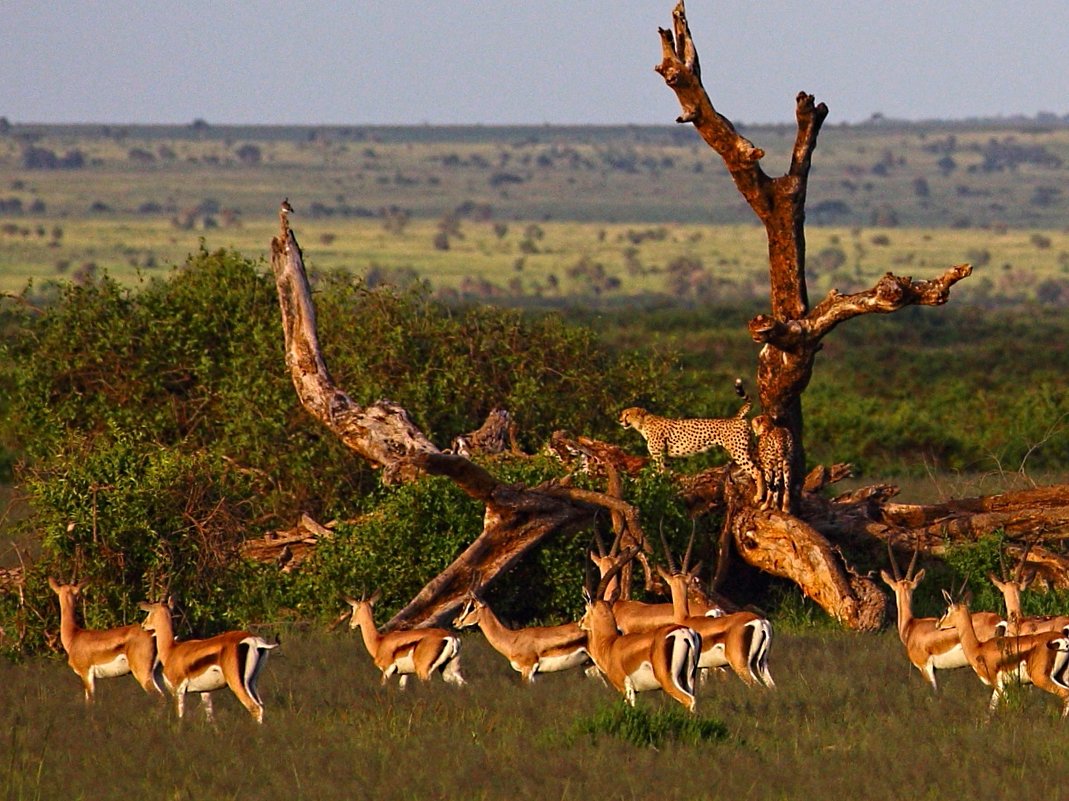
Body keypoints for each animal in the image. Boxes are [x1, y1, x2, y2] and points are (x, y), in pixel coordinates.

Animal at [620, 378, 761, 479]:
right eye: (622, 414)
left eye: (627, 414)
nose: (620, 420)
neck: (643, 424)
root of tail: (735, 418)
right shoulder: (667, 458)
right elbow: (667, 473)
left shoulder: (659, 456)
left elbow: (657, 472)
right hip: (748, 446)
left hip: (738, 451)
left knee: (755, 471)